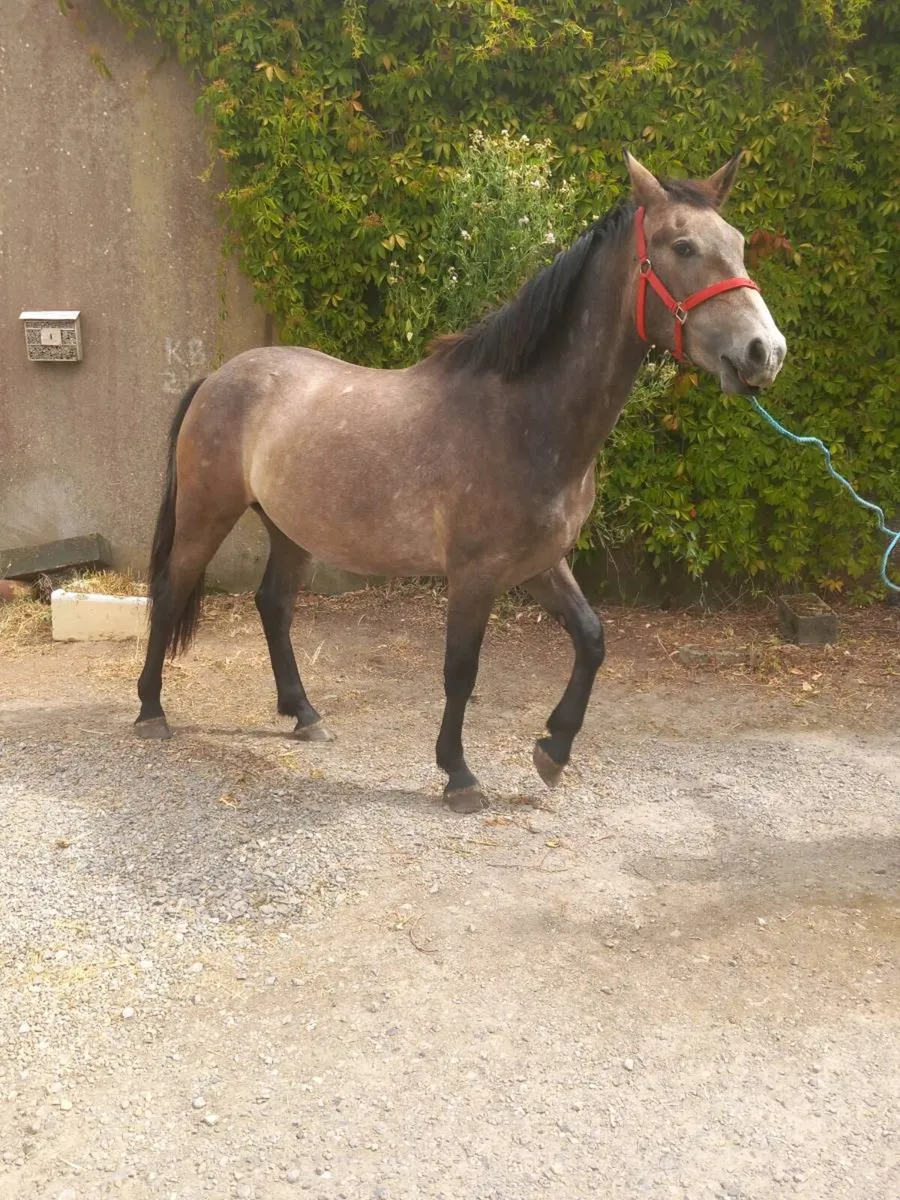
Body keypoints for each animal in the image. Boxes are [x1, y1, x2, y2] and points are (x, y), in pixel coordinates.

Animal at [135, 150, 786, 812]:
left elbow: (592, 639)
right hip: (206, 515)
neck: (523, 417)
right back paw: (151, 711)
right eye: (682, 246)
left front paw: (553, 751)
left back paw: (305, 714)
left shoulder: (538, 563)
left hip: (290, 530)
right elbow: (461, 670)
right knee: (169, 592)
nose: (766, 352)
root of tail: (217, 377)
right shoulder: (475, 574)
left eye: (737, 242)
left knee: (273, 604)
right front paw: (459, 774)